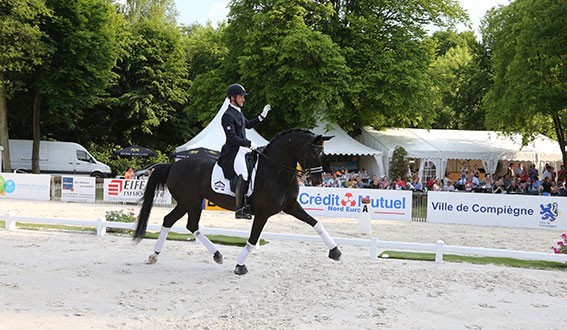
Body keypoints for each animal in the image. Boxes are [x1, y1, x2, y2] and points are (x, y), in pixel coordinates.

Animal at [134, 128, 342, 274]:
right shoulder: (263, 214)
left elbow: (316, 223)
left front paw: (335, 251)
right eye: (313, 153)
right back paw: (216, 254)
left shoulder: (291, 206)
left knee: (171, 221)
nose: (317, 181)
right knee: (191, 225)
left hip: (186, 203)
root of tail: (173, 165)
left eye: (323, 154)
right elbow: (252, 240)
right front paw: (240, 265)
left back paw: (155, 255)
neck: (276, 171)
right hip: (191, 202)